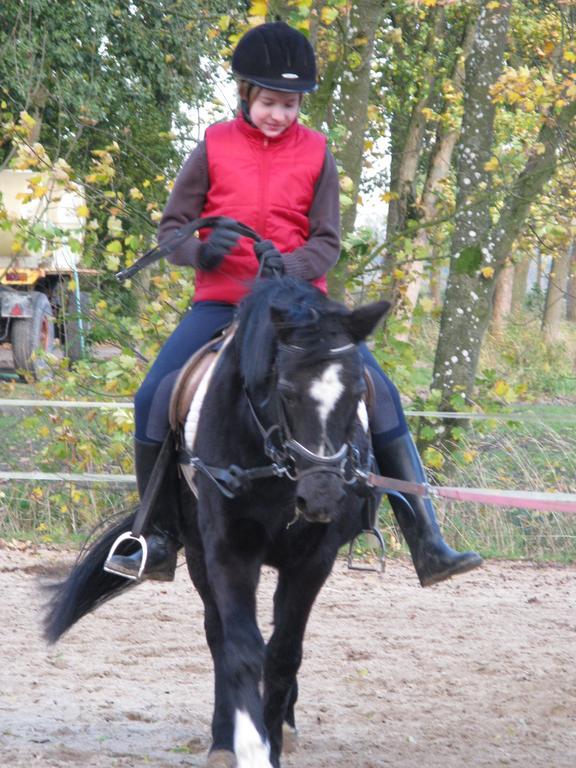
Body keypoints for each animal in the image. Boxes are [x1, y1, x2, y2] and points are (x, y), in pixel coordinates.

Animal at [44, 276, 388, 768]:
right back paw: (225, 737)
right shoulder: (228, 551)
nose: (322, 497)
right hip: (197, 553)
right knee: (218, 636)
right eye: (285, 390)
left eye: (358, 393)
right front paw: (249, 745)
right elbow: (240, 650)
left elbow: (283, 654)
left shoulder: (312, 560)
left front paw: (274, 739)